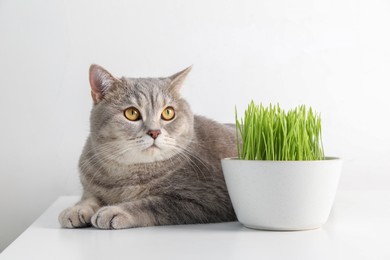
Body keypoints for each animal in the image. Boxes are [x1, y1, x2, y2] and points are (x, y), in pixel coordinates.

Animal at [56, 65, 236, 230]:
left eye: (168, 113)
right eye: (132, 113)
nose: (154, 132)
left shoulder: (207, 198)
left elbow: (151, 204)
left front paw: (115, 211)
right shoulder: (90, 185)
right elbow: (88, 197)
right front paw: (77, 209)